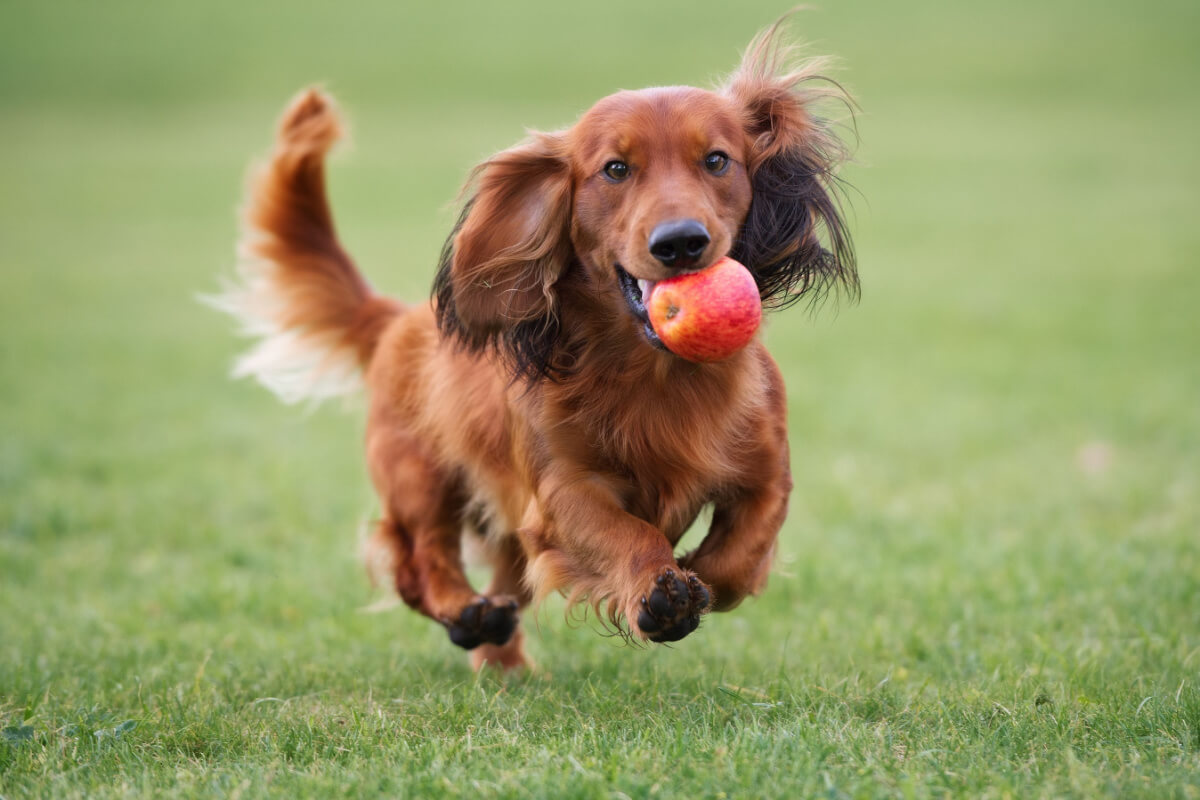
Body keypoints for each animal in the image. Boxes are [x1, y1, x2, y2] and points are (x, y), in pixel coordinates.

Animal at [213, 20, 854, 671]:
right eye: (616, 169)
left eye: (718, 160)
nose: (680, 243)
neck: (657, 374)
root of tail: (394, 319)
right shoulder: (561, 492)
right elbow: (628, 532)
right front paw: (659, 591)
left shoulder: (767, 474)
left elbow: (738, 558)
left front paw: (694, 573)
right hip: (419, 475)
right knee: (419, 560)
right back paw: (465, 612)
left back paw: (502, 658)